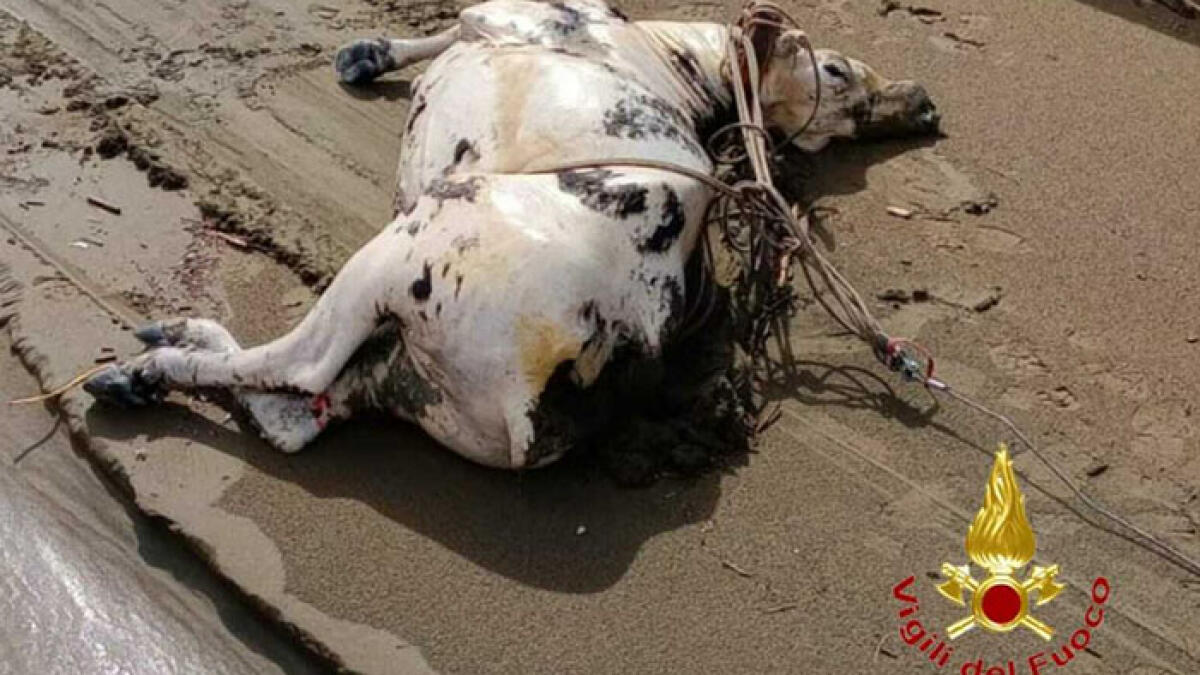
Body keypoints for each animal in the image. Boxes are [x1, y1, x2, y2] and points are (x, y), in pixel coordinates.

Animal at [85, 0, 940, 474]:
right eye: (839, 75)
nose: (924, 104)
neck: (687, 65)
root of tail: (599, 365)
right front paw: (372, 54)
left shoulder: (504, 9)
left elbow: (453, 21)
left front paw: (375, 51)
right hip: (404, 377)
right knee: (295, 417)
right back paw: (161, 364)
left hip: (416, 241)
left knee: (300, 368)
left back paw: (156, 361)